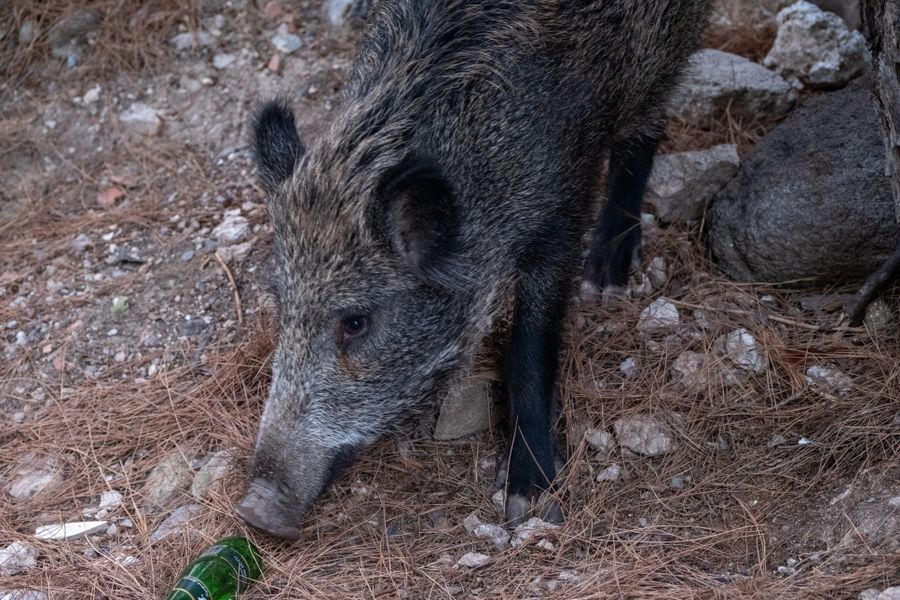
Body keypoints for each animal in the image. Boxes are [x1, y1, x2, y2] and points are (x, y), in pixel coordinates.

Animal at [236, 0, 712, 539]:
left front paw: (528, 501)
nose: (254, 510)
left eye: (356, 322)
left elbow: (528, 350)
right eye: (282, 306)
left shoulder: (562, 207)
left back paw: (607, 278)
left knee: (650, 122)